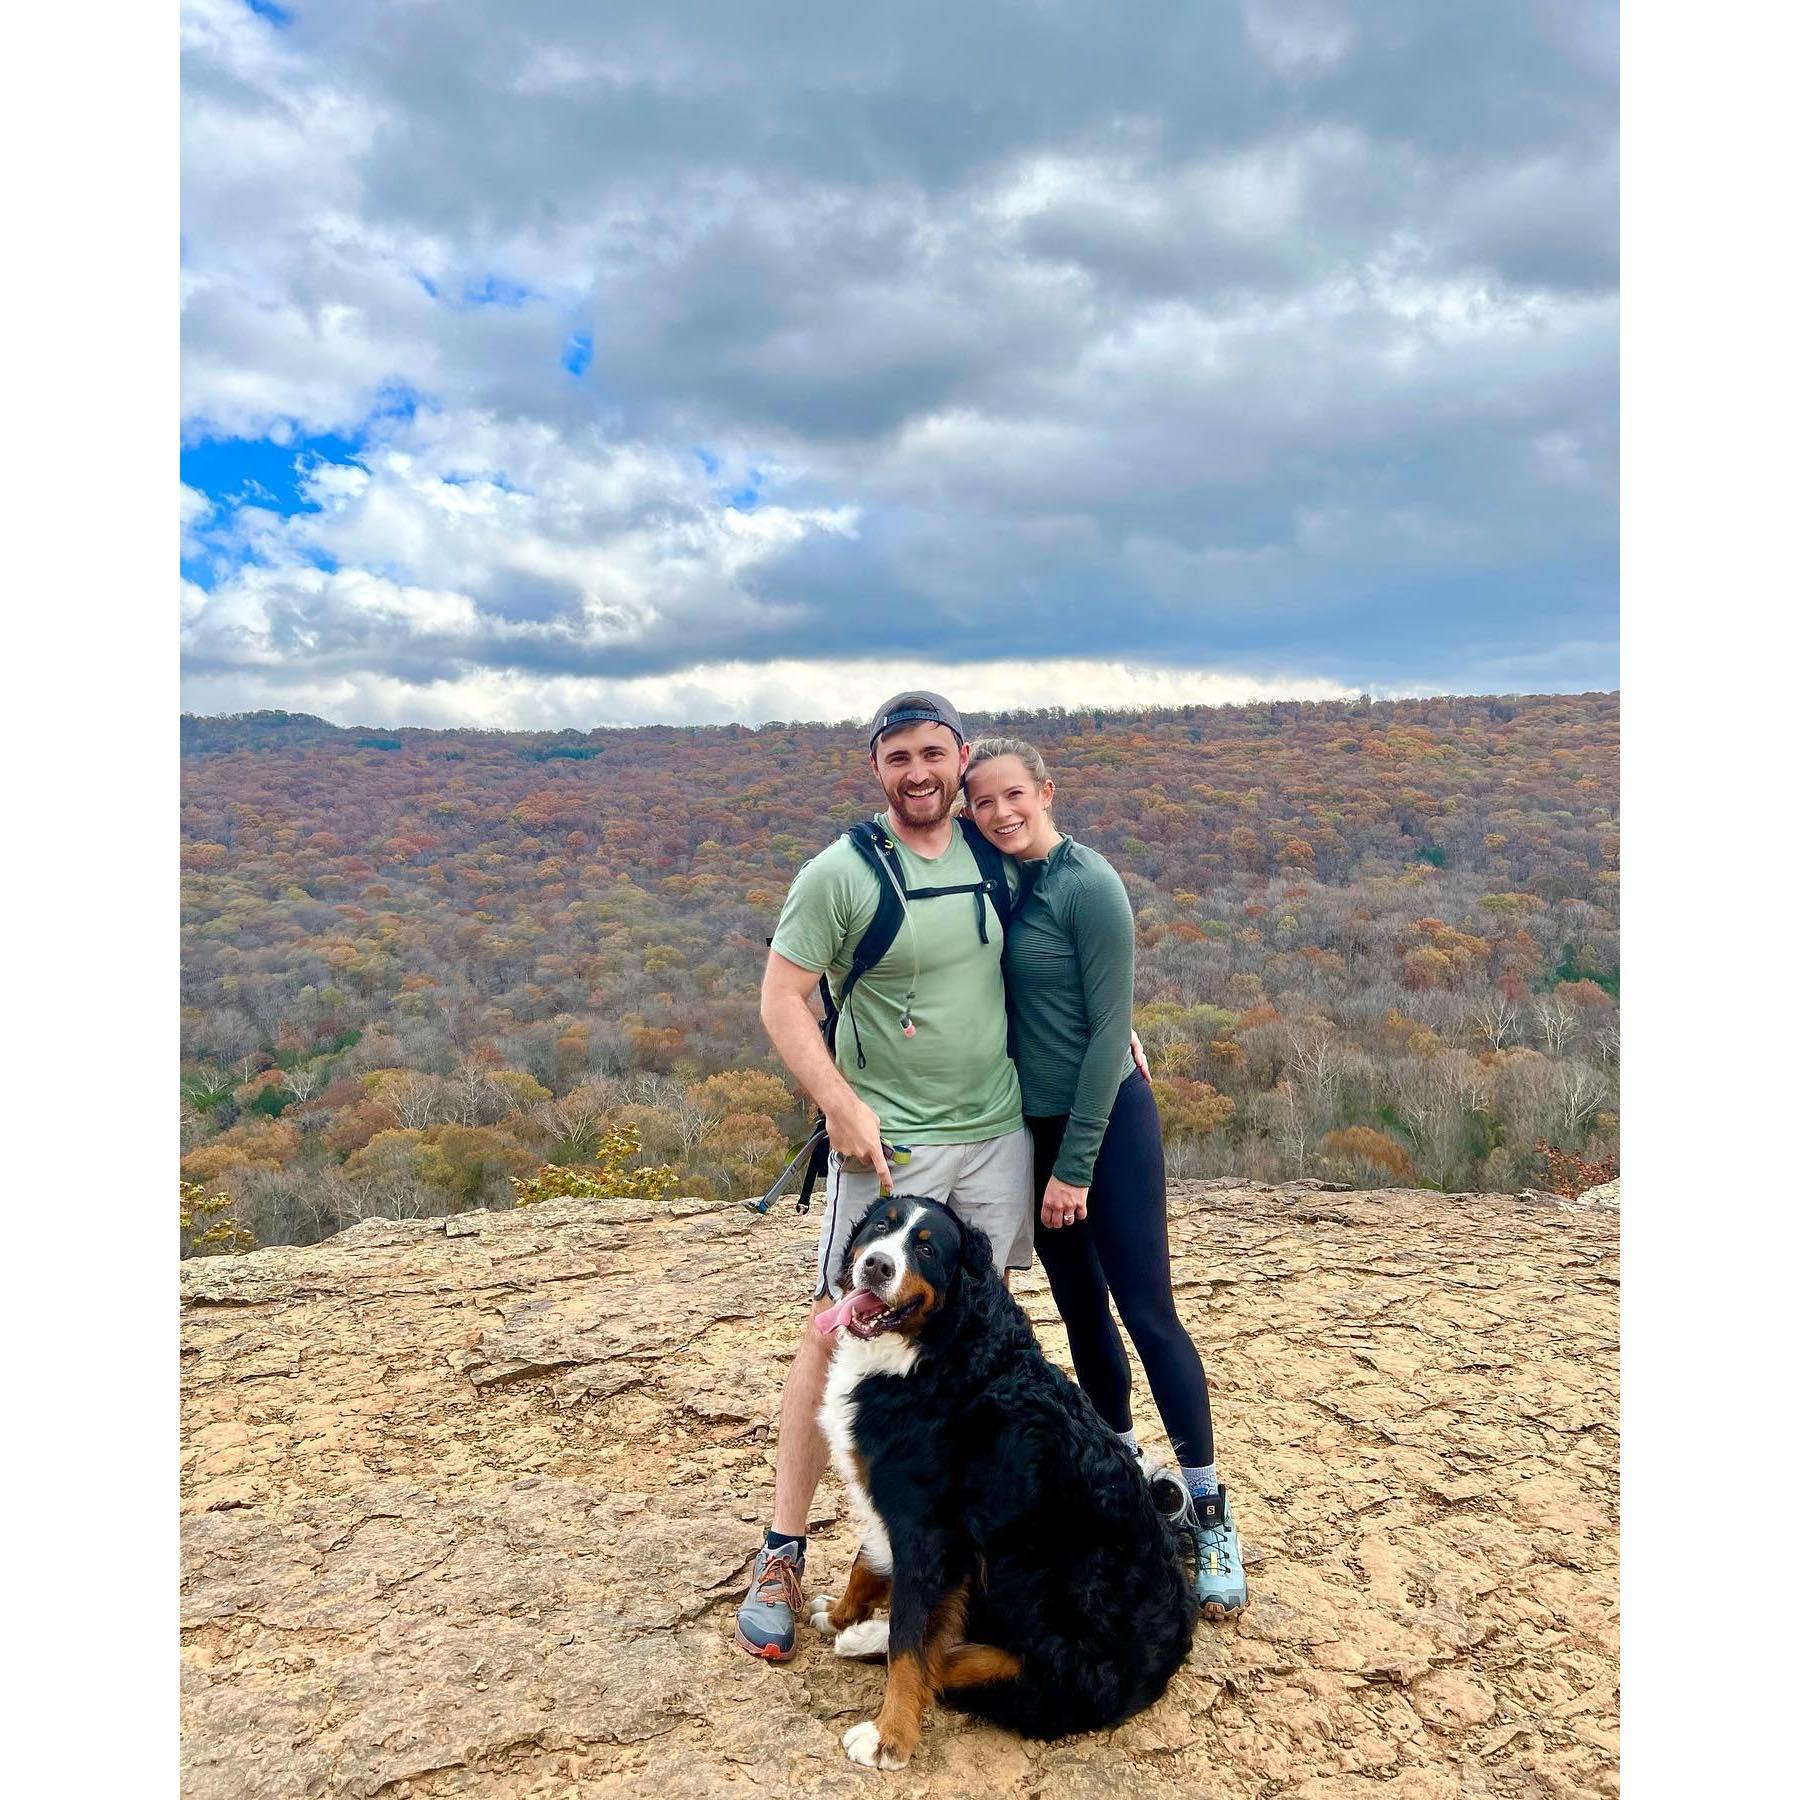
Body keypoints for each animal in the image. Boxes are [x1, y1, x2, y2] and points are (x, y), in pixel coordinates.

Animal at [813, 1195, 1202, 1771]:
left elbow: (911, 1640)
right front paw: (842, 1616)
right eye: (881, 1227)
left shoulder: (927, 1528)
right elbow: (866, 1566)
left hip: (1049, 1623)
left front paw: (890, 1735)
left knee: (966, 1666)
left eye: (926, 1249)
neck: (939, 1349)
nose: (878, 1266)